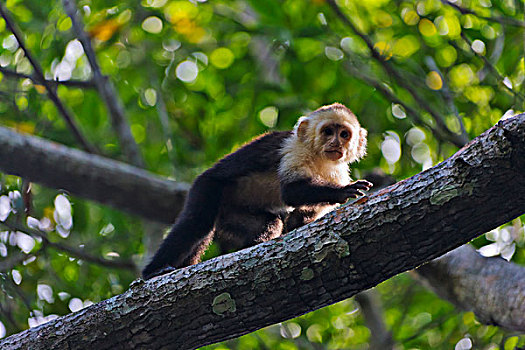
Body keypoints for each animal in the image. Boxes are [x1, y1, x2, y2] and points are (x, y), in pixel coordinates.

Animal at [143, 103, 370, 278]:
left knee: (269, 223)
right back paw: (153, 271)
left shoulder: (338, 171)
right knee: (198, 221)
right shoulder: (294, 148)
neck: (320, 158)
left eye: (344, 134)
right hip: (206, 186)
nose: (335, 143)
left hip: (231, 214)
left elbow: (301, 217)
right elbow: (291, 191)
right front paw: (342, 192)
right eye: (328, 131)